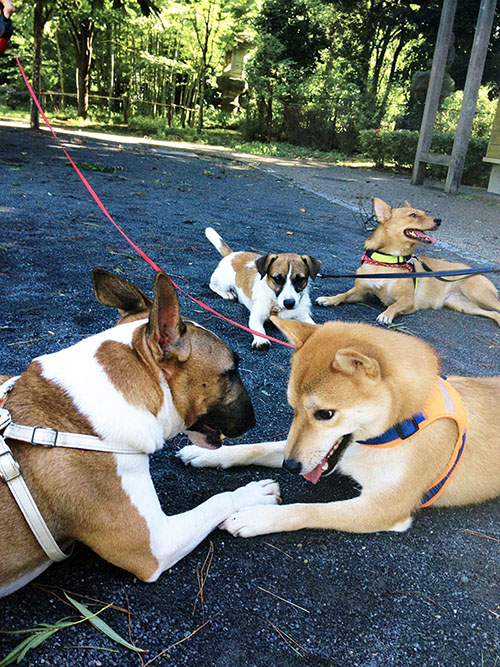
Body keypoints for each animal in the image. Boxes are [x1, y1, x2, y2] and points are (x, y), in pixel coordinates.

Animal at [178, 318, 498, 536]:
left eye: (325, 414)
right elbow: (258, 448)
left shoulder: (382, 509)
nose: (290, 467)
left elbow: (307, 510)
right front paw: (209, 454)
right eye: (292, 408)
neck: (398, 428)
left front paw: (256, 517)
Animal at [316, 198, 500, 328]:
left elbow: (394, 305)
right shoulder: (361, 292)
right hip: (462, 305)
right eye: (413, 215)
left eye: (424, 213)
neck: (389, 261)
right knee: (494, 314)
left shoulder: (407, 300)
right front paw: (329, 299)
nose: (439, 220)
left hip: (480, 294)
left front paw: (386, 314)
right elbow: (344, 294)